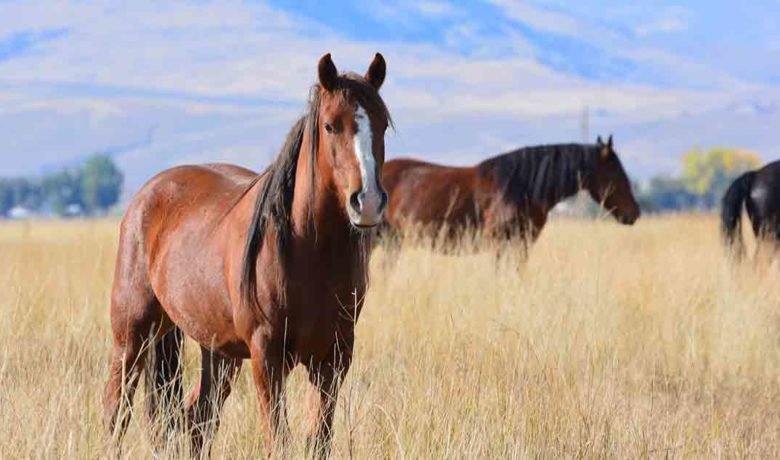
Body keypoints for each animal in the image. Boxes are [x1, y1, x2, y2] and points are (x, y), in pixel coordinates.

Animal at [103, 52, 392, 458]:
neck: (310, 252)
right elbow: (278, 440)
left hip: (218, 352)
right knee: (117, 409)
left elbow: (319, 440)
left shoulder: (333, 359)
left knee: (197, 417)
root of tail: (147, 195)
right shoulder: (267, 357)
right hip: (132, 334)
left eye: (382, 124)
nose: (367, 202)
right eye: (330, 126)